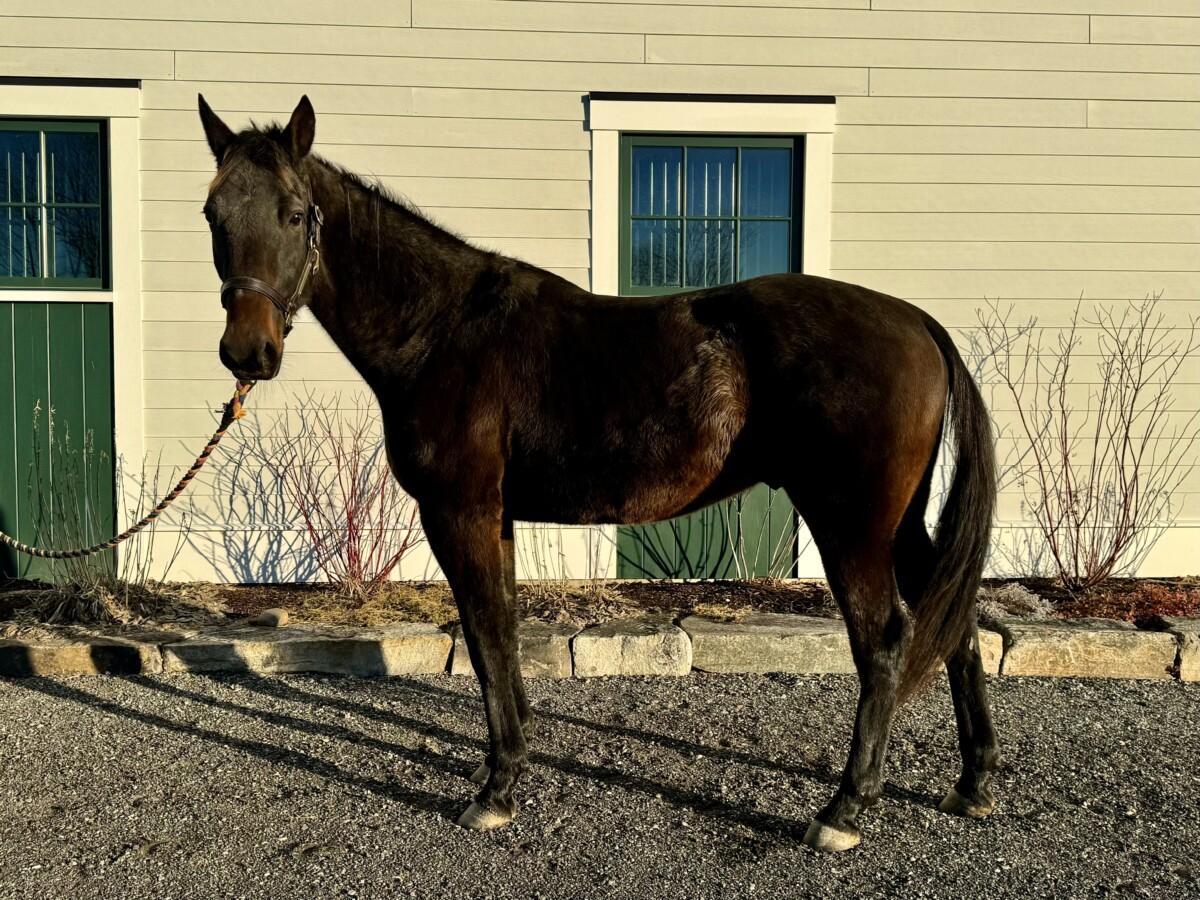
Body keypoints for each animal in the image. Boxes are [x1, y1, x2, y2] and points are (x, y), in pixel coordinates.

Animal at [197, 95, 1000, 852]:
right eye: (212, 212)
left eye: (295, 213)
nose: (247, 353)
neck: (443, 331)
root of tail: (916, 322)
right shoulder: (494, 515)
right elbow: (502, 628)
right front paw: (514, 755)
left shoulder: (457, 511)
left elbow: (484, 634)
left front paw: (498, 789)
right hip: (898, 523)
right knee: (955, 621)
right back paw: (972, 783)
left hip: (851, 525)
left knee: (887, 641)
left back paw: (843, 810)